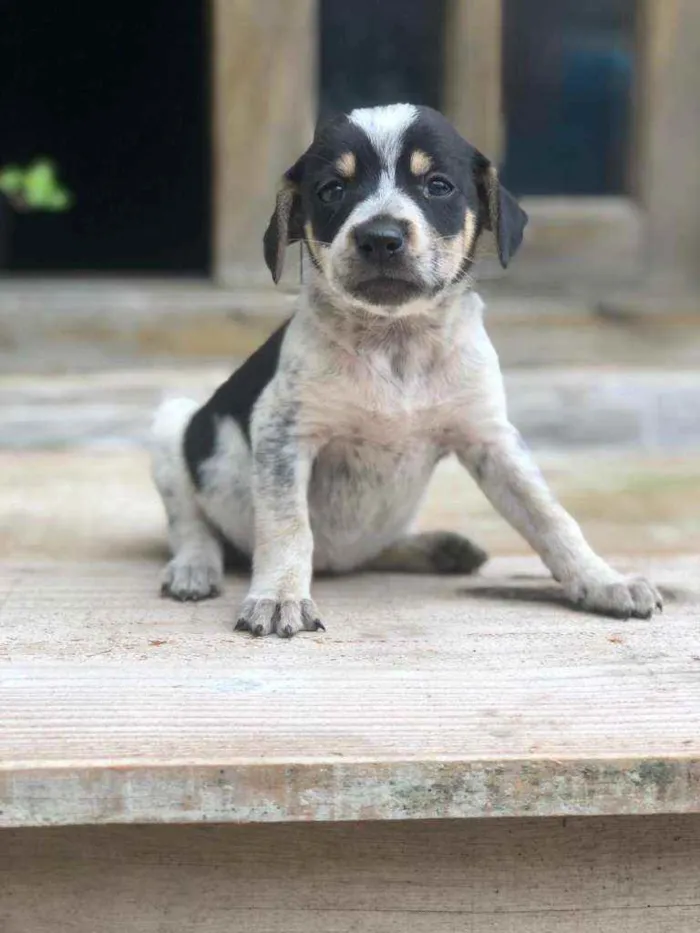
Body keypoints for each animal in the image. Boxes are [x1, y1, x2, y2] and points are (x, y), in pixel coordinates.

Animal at [150, 105, 664, 636]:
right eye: (331, 190)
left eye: (438, 185)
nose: (380, 238)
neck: (395, 340)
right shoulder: (283, 432)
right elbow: (287, 525)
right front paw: (278, 596)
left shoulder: (491, 438)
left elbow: (550, 517)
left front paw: (603, 581)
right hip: (172, 426)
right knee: (191, 525)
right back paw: (194, 568)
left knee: (376, 550)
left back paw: (438, 549)